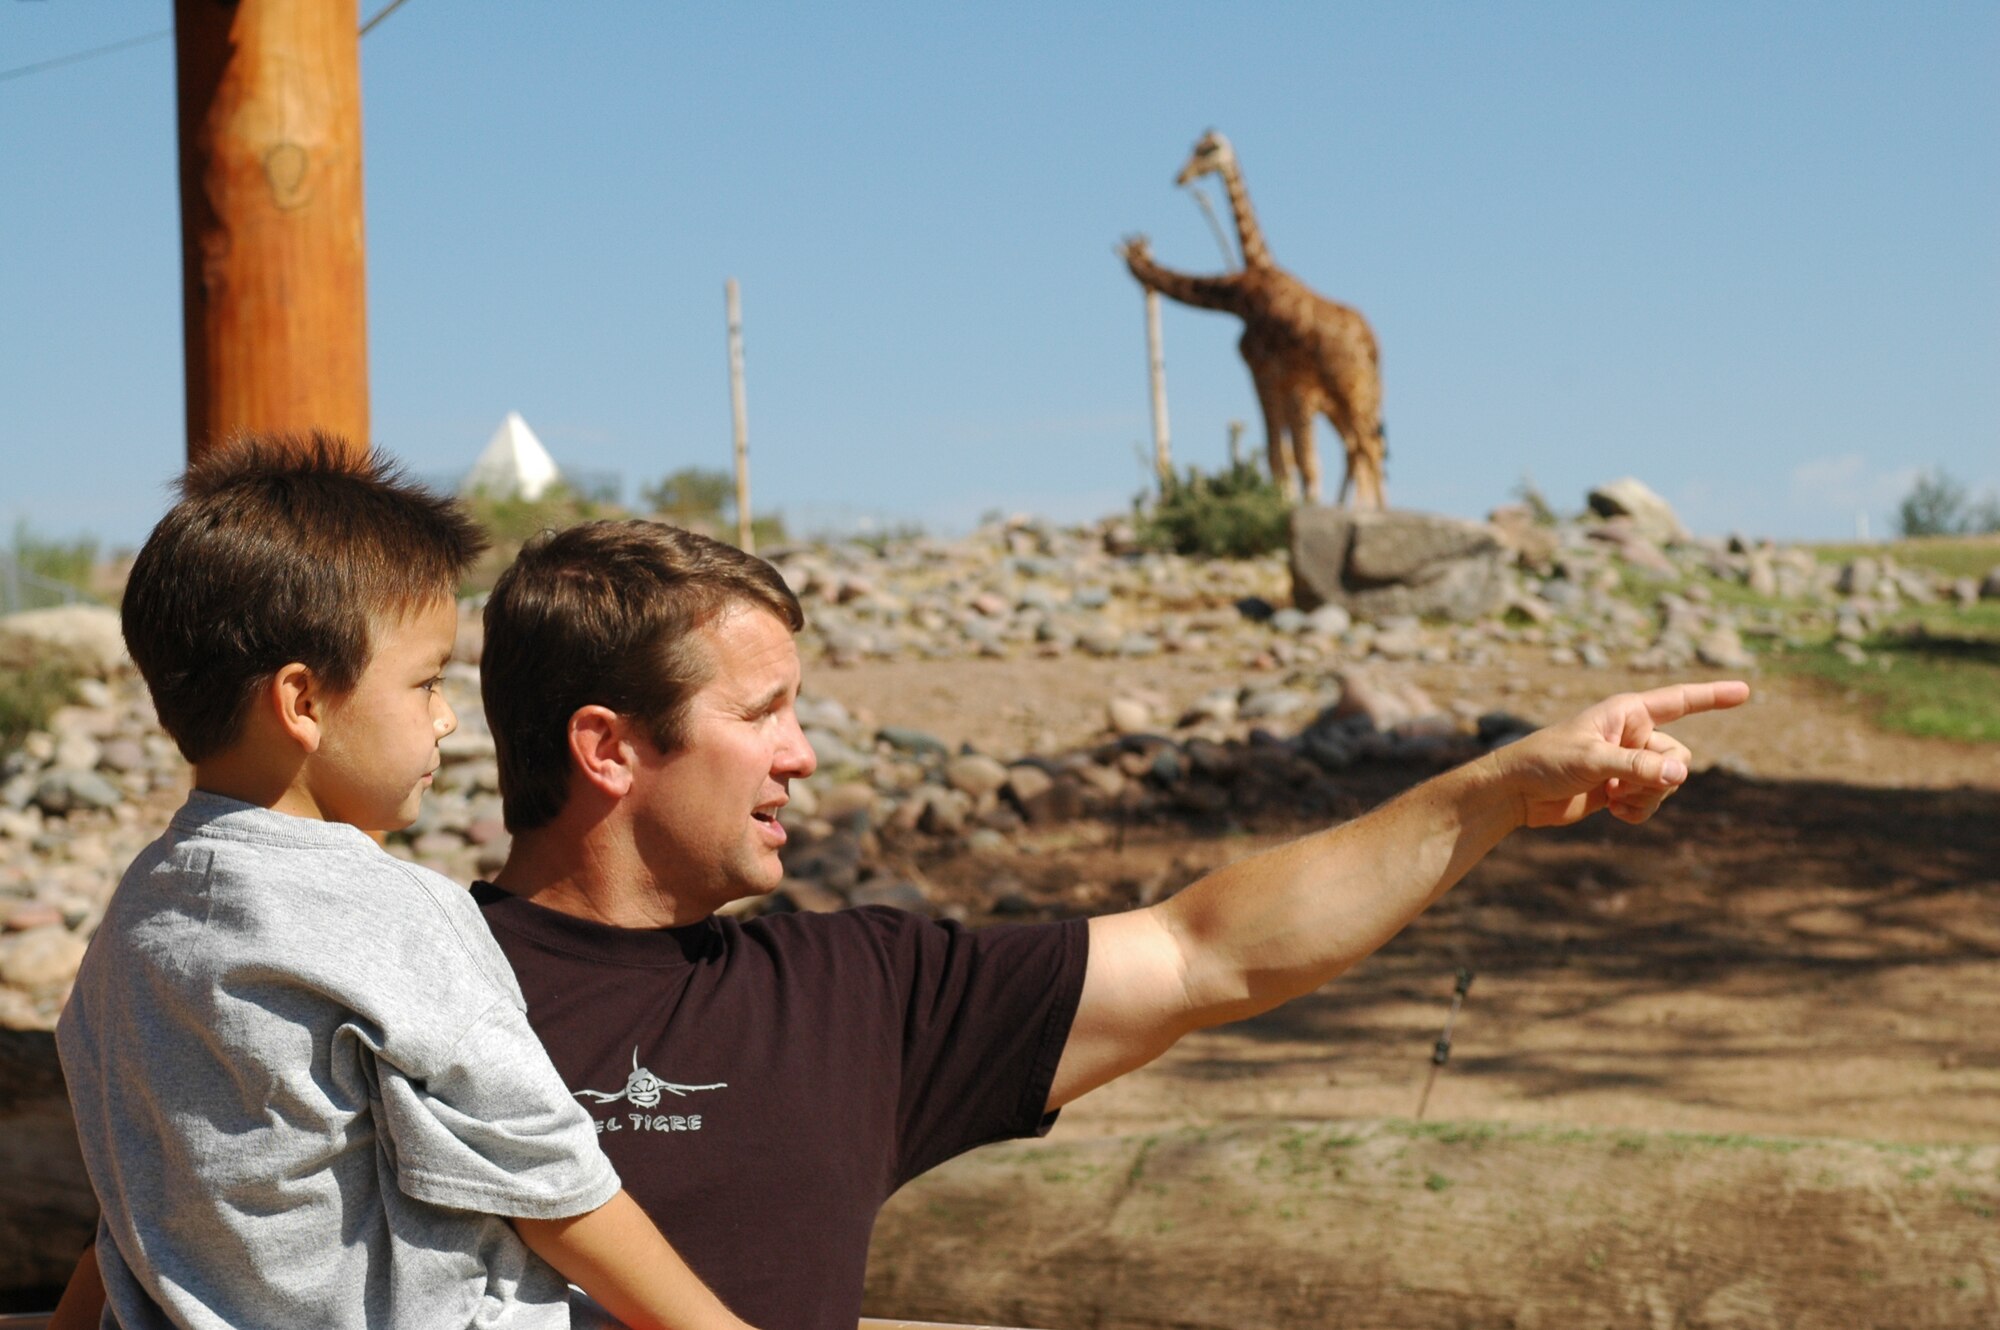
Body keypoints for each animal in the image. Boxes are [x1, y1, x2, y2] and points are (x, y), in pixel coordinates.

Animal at [1128, 131, 1392, 508]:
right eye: (1194, 148)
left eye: (1207, 150)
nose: (1180, 177)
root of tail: (1372, 344)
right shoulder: (1287, 383)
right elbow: (1289, 456)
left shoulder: (1266, 372)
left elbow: (1285, 456)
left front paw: (1294, 504)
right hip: (1361, 392)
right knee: (1362, 447)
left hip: (1348, 387)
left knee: (1365, 447)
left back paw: (1369, 509)